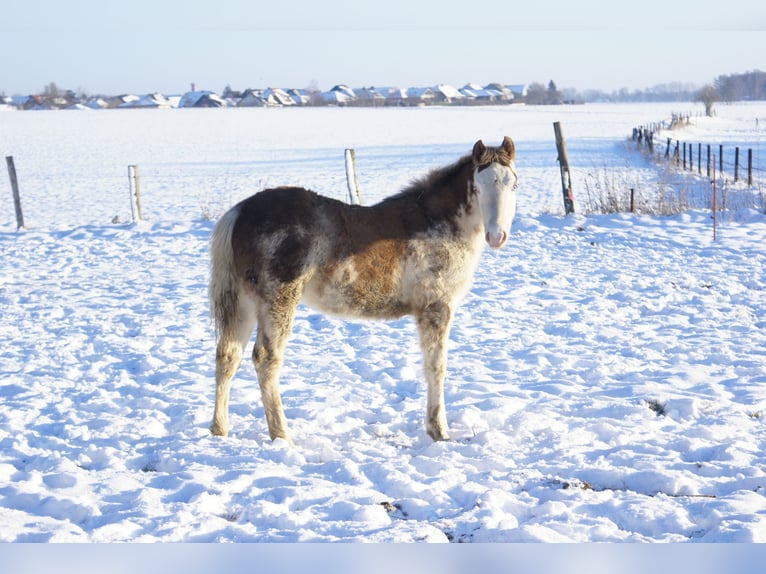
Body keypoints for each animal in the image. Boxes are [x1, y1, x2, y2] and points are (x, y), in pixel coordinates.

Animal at [209, 136, 518, 443]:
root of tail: (239, 212)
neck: (438, 222)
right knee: (266, 359)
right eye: (478, 187)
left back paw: (219, 430)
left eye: (513, 184)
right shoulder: (436, 308)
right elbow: (436, 367)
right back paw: (282, 435)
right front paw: (439, 430)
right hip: (277, 301)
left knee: (228, 356)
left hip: (244, 304)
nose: (497, 236)